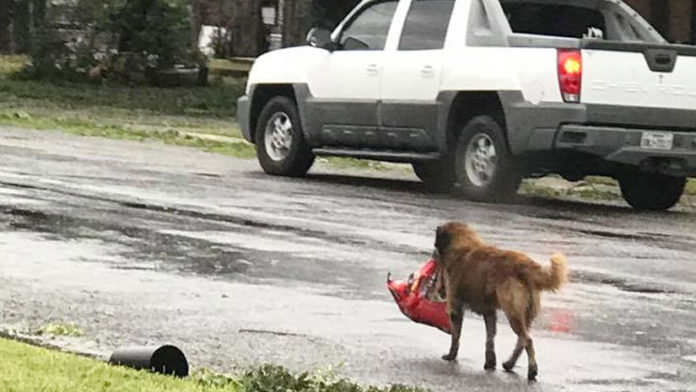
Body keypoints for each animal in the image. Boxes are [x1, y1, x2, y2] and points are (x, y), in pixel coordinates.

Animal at [436, 222, 564, 382]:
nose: (439, 290)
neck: (464, 246)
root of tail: (525, 265)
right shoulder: (490, 313)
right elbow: (490, 339)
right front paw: (490, 362)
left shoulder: (455, 309)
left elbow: (456, 336)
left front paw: (451, 356)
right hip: (525, 315)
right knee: (521, 341)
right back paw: (509, 363)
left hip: (513, 313)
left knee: (527, 340)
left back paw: (532, 371)